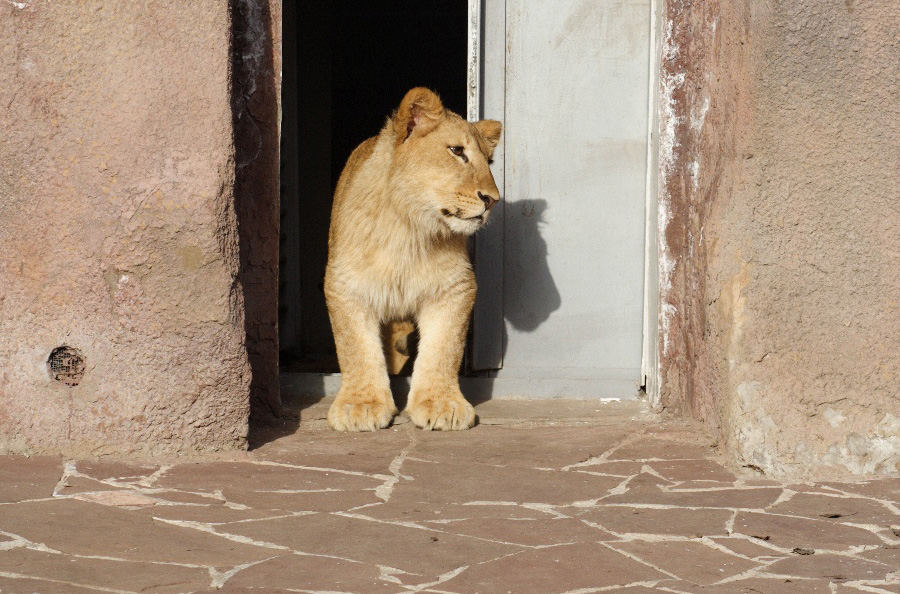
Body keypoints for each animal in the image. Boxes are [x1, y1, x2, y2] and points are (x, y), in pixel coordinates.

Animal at [324, 86, 502, 430]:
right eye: (457, 151)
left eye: (488, 161)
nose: (492, 200)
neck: (410, 229)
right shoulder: (346, 286)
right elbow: (356, 348)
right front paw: (361, 405)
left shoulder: (454, 288)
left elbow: (443, 349)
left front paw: (441, 404)